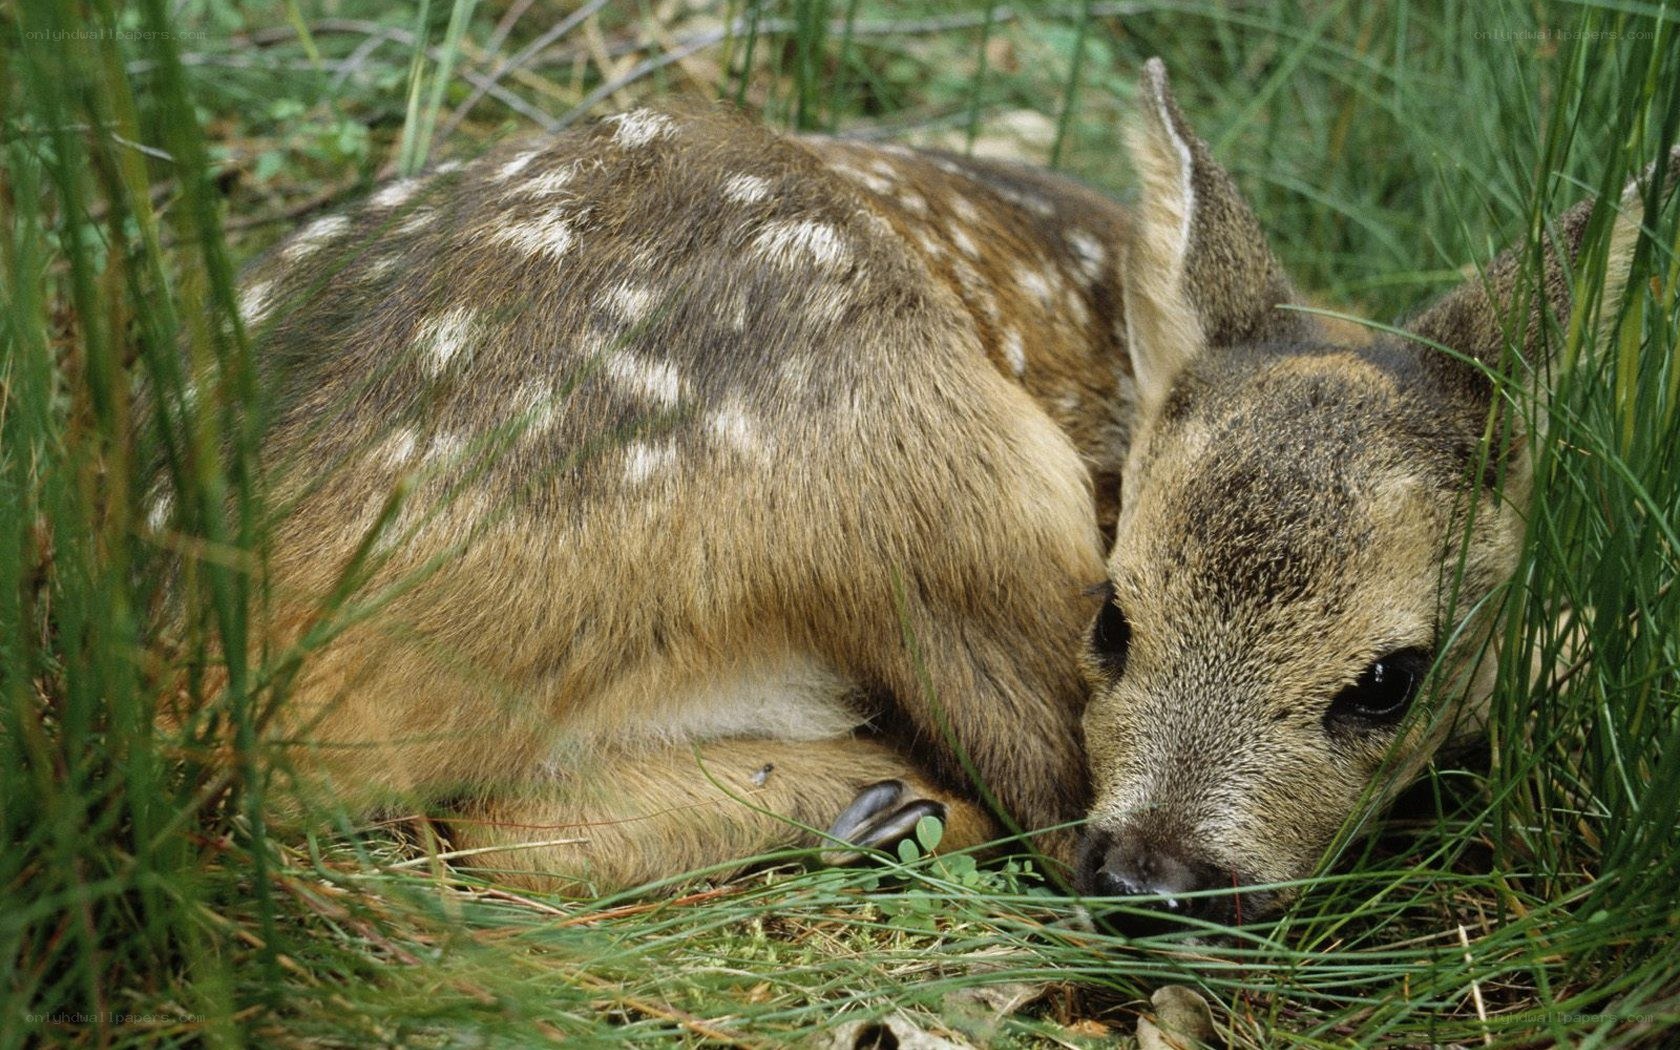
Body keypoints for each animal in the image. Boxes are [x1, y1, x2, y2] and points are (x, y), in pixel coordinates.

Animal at [170, 58, 1667, 926]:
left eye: (1388, 679)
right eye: (1113, 617)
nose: (1156, 881)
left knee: (484, 826)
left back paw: (858, 805)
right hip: (910, 427)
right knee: (1031, 783)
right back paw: (891, 805)